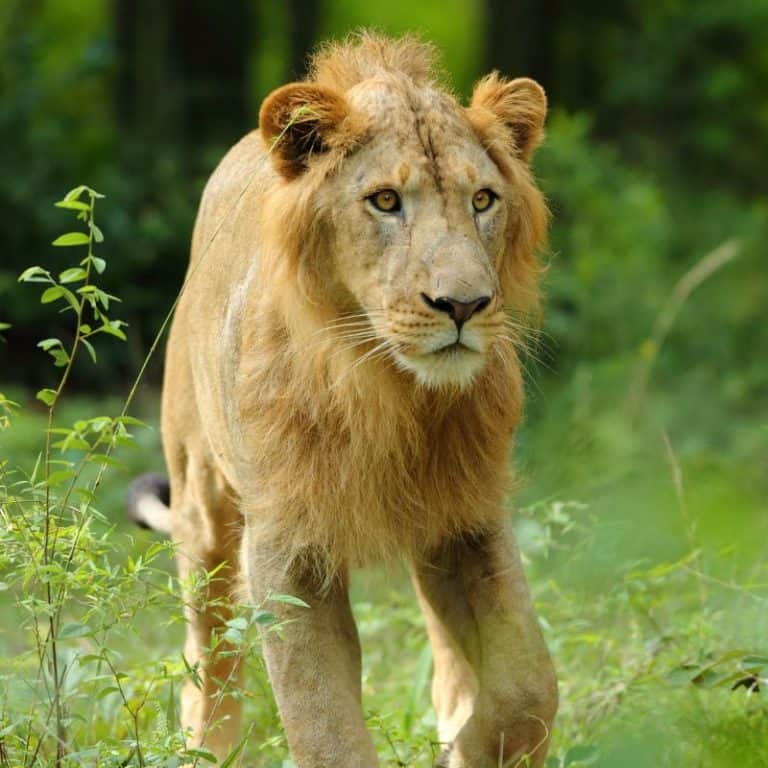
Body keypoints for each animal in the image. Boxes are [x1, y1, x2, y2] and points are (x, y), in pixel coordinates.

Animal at [127, 32, 557, 768]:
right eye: (385, 201)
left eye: (482, 200)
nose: (465, 305)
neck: (393, 391)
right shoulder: (285, 542)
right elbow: (322, 719)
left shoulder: (470, 513)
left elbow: (528, 684)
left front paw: (467, 745)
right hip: (200, 498)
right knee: (206, 651)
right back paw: (207, 744)